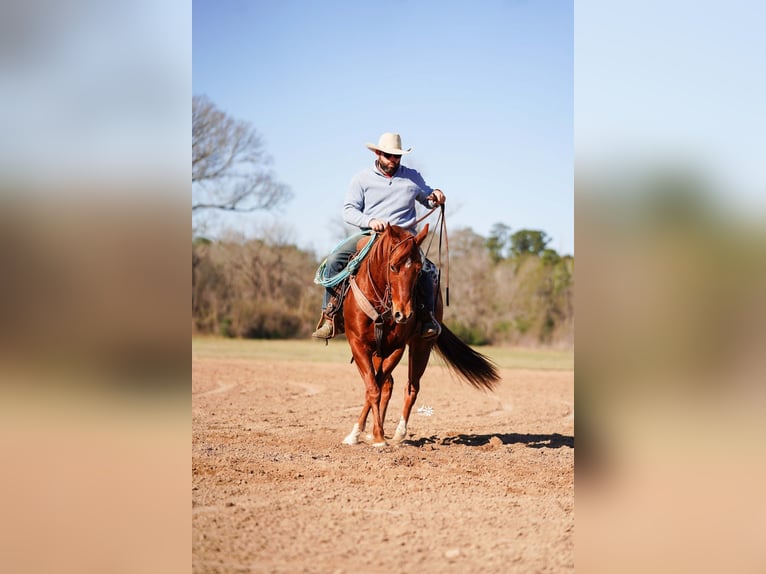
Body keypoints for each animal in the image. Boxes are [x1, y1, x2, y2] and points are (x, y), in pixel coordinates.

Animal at [341, 223, 500, 447]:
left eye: (418, 270)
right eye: (393, 267)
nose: (404, 314)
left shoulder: (397, 347)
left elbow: (375, 386)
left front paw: (378, 435)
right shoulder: (358, 344)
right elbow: (373, 387)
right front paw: (362, 433)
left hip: (421, 346)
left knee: (411, 387)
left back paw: (399, 433)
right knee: (386, 385)